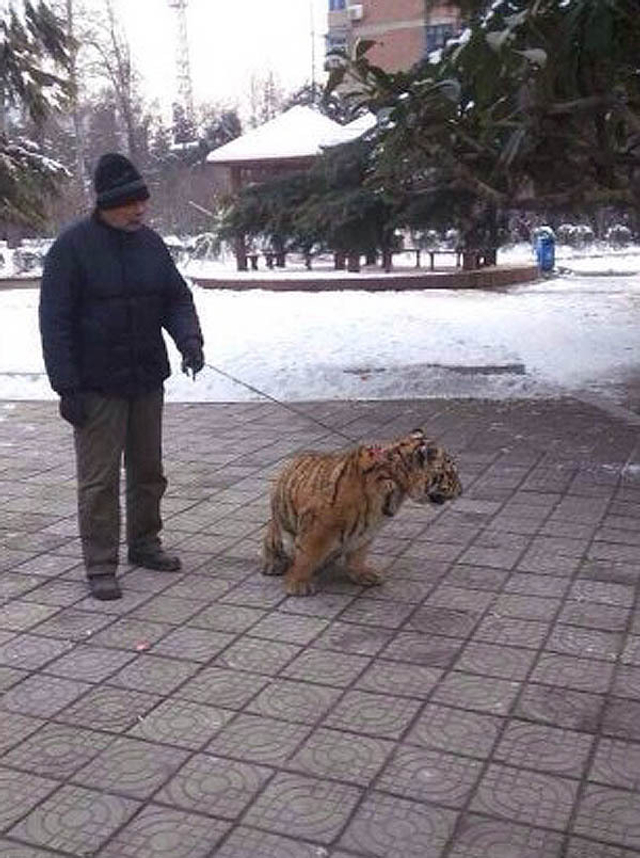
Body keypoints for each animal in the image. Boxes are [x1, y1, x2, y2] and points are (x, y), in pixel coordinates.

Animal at [262, 428, 462, 596]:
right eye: (451, 473)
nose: (462, 491)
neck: (396, 480)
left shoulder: (366, 530)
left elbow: (358, 555)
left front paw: (363, 575)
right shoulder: (319, 527)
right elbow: (306, 556)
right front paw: (298, 584)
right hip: (279, 529)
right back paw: (274, 564)